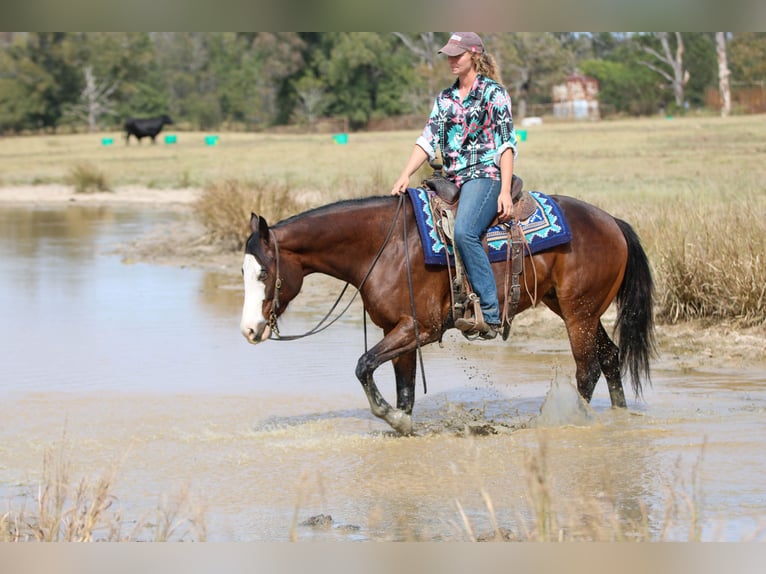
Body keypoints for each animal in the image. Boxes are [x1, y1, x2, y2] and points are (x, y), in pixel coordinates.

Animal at [240, 192, 655, 435]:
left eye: (264, 273)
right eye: (242, 272)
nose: (249, 330)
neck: (386, 245)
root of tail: (612, 222)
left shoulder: (421, 328)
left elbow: (363, 365)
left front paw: (389, 416)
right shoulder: (398, 330)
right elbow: (404, 390)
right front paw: (402, 424)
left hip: (578, 314)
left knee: (587, 369)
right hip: (579, 311)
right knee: (610, 357)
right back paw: (618, 416)